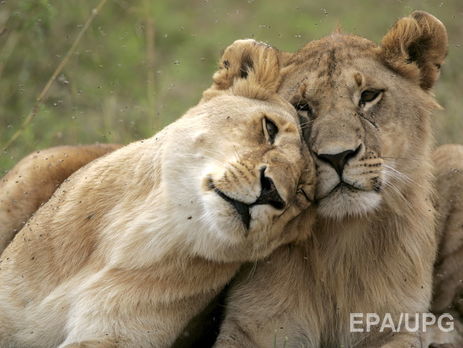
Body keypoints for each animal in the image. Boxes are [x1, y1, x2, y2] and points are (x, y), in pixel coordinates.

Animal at [216, 10, 452, 348]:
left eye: (368, 96)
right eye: (302, 107)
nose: (337, 156)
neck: (340, 246)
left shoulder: (399, 325)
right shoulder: (252, 326)